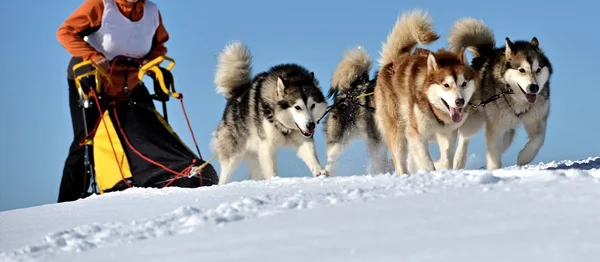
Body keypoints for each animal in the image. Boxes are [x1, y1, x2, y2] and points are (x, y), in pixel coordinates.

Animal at [212, 42, 328, 184]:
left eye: (313, 105)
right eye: (297, 107)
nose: (311, 125)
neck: (285, 126)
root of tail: (236, 95)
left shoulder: (303, 138)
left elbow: (311, 154)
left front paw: (319, 171)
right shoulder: (267, 145)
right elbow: (271, 170)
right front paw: (275, 181)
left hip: (255, 157)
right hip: (233, 155)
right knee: (225, 174)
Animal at [372, 8, 480, 176]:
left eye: (463, 84)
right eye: (446, 85)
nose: (459, 101)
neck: (435, 111)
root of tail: (392, 62)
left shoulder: (447, 135)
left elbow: (446, 159)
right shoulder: (416, 135)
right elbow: (428, 164)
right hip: (398, 134)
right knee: (400, 163)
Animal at [450, 18, 552, 170]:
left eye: (538, 70)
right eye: (521, 70)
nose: (534, 87)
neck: (518, 100)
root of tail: (485, 55)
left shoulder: (537, 118)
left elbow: (539, 139)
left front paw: (524, 156)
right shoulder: (495, 127)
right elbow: (494, 153)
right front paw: (494, 170)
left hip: (509, 129)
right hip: (474, 121)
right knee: (465, 137)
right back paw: (459, 161)